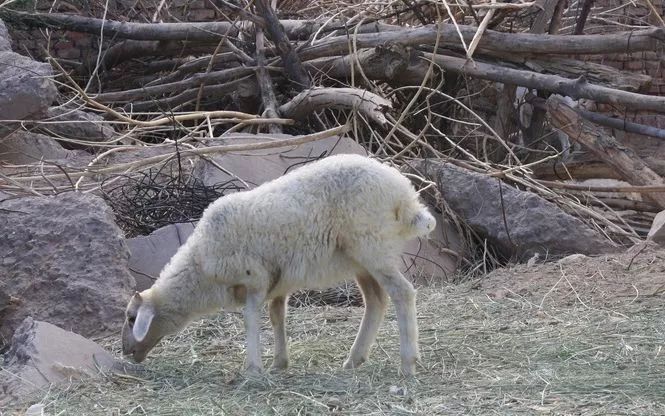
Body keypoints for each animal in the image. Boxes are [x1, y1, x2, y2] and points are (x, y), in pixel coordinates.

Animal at [122, 154, 436, 376]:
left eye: (131, 319)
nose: (125, 352)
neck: (199, 266)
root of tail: (406, 195)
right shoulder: (278, 282)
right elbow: (277, 316)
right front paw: (278, 363)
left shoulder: (254, 278)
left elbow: (250, 319)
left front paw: (253, 368)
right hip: (362, 259)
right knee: (376, 301)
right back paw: (354, 359)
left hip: (373, 248)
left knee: (402, 293)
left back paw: (407, 363)